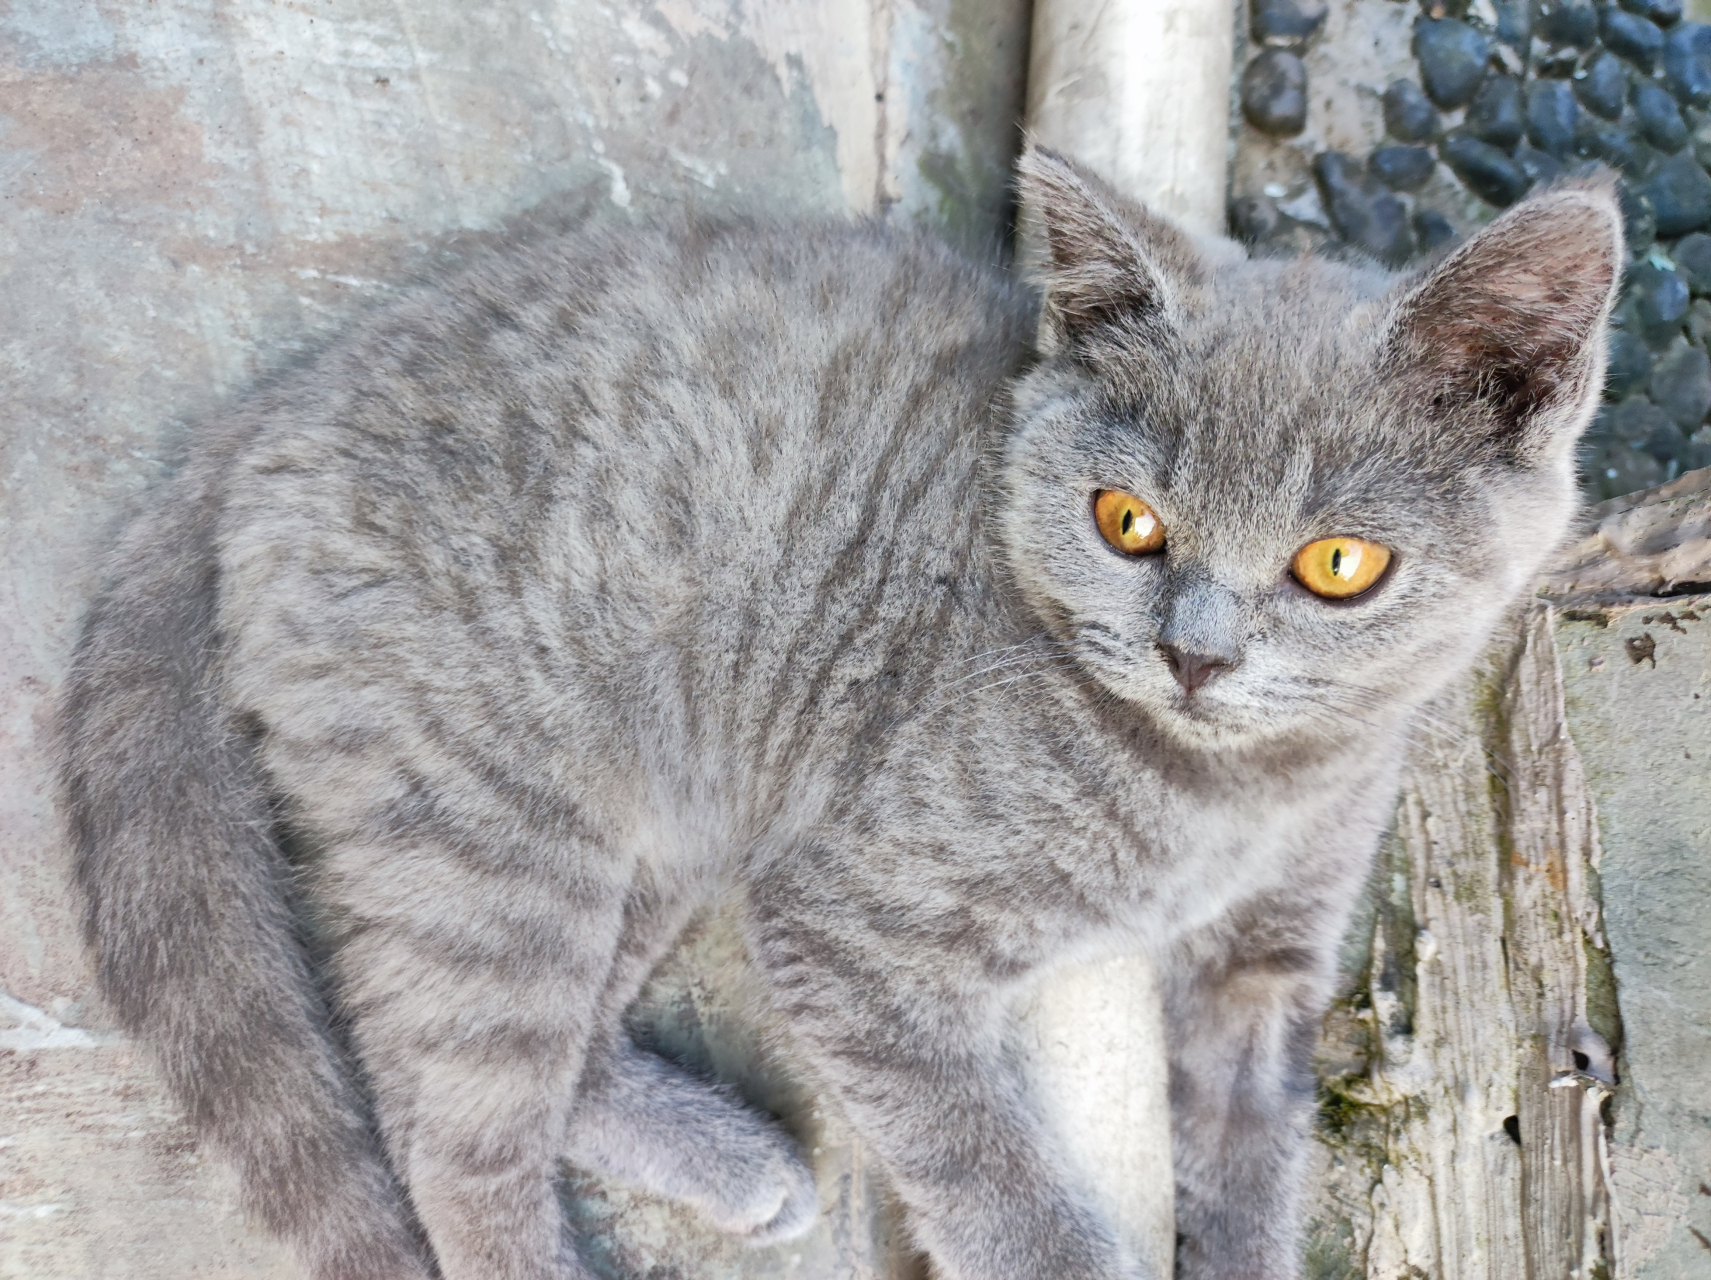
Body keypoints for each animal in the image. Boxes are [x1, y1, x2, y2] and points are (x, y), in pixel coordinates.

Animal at [56, 152, 1615, 1280]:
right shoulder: (849, 921)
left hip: (683, 805)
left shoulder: (1264, 974)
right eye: (1126, 521)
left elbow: (1250, 1175)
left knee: (539, 1057)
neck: (1230, 793)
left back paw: (731, 1160)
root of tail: (270, 415)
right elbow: (986, 1169)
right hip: (488, 829)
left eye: (1337, 563)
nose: (1196, 655)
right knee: (445, 1119)